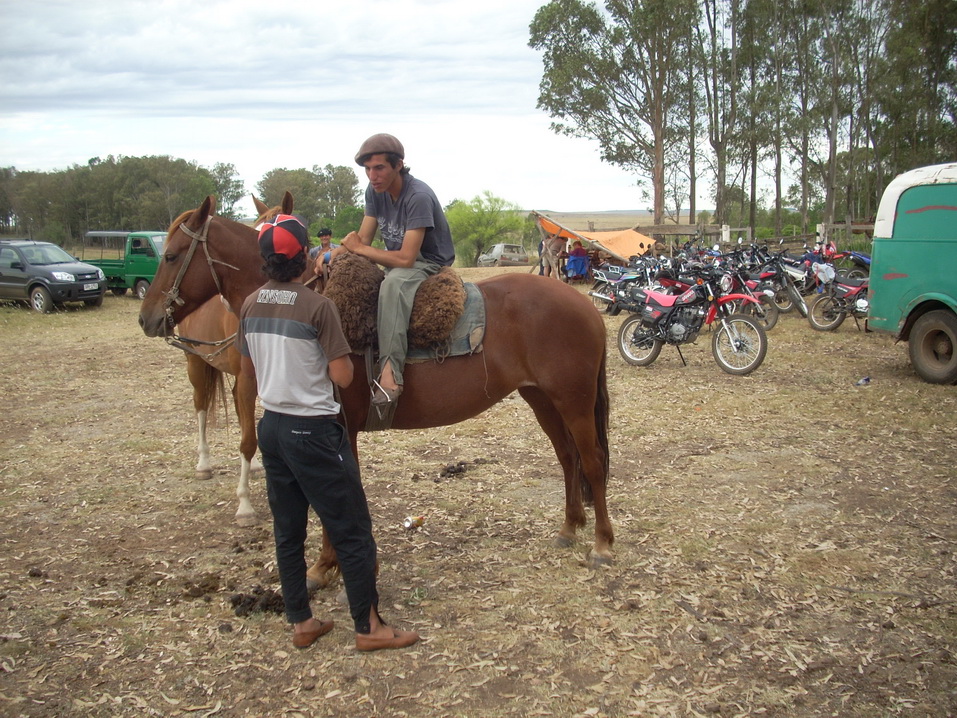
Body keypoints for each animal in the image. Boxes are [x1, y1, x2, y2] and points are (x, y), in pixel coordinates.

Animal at [137, 195, 608, 580]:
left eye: (172, 255)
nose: (147, 317)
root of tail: (586, 304)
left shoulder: (338, 428)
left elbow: (332, 500)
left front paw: (328, 565)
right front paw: (333, 564)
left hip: (574, 401)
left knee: (592, 462)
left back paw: (603, 543)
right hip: (542, 398)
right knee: (568, 459)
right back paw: (570, 528)